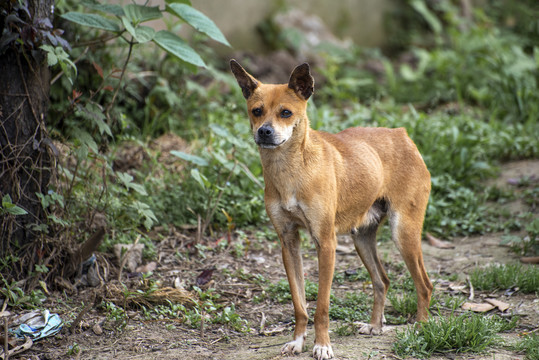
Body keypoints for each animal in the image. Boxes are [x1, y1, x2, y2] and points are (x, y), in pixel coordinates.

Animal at [230, 59, 432, 360]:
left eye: (286, 113)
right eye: (256, 111)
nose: (264, 131)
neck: (291, 171)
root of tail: (402, 135)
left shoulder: (326, 243)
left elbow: (322, 307)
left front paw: (322, 345)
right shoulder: (288, 243)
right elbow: (300, 305)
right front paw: (298, 341)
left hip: (403, 233)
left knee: (424, 285)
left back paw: (420, 329)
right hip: (362, 239)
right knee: (382, 281)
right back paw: (375, 326)